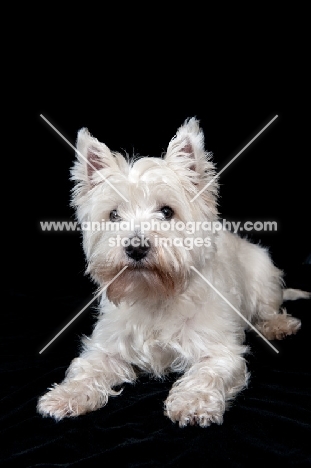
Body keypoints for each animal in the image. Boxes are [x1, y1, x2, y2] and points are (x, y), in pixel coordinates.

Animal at [36, 118, 310, 428]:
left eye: (167, 211)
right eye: (114, 215)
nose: (136, 247)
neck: (155, 294)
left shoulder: (219, 351)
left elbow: (206, 374)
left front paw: (193, 403)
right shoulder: (107, 346)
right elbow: (87, 368)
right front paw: (66, 396)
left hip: (262, 273)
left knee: (268, 307)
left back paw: (278, 325)